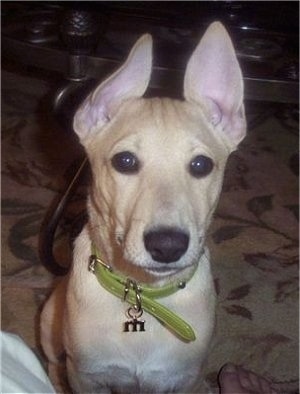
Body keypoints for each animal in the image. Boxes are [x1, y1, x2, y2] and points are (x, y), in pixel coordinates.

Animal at [40, 22, 246, 394]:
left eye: (201, 165)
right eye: (124, 161)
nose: (167, 245)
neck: (143, 296)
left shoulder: (184, 379)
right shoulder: (85, 375)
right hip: (50, 319)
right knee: (51, 360)